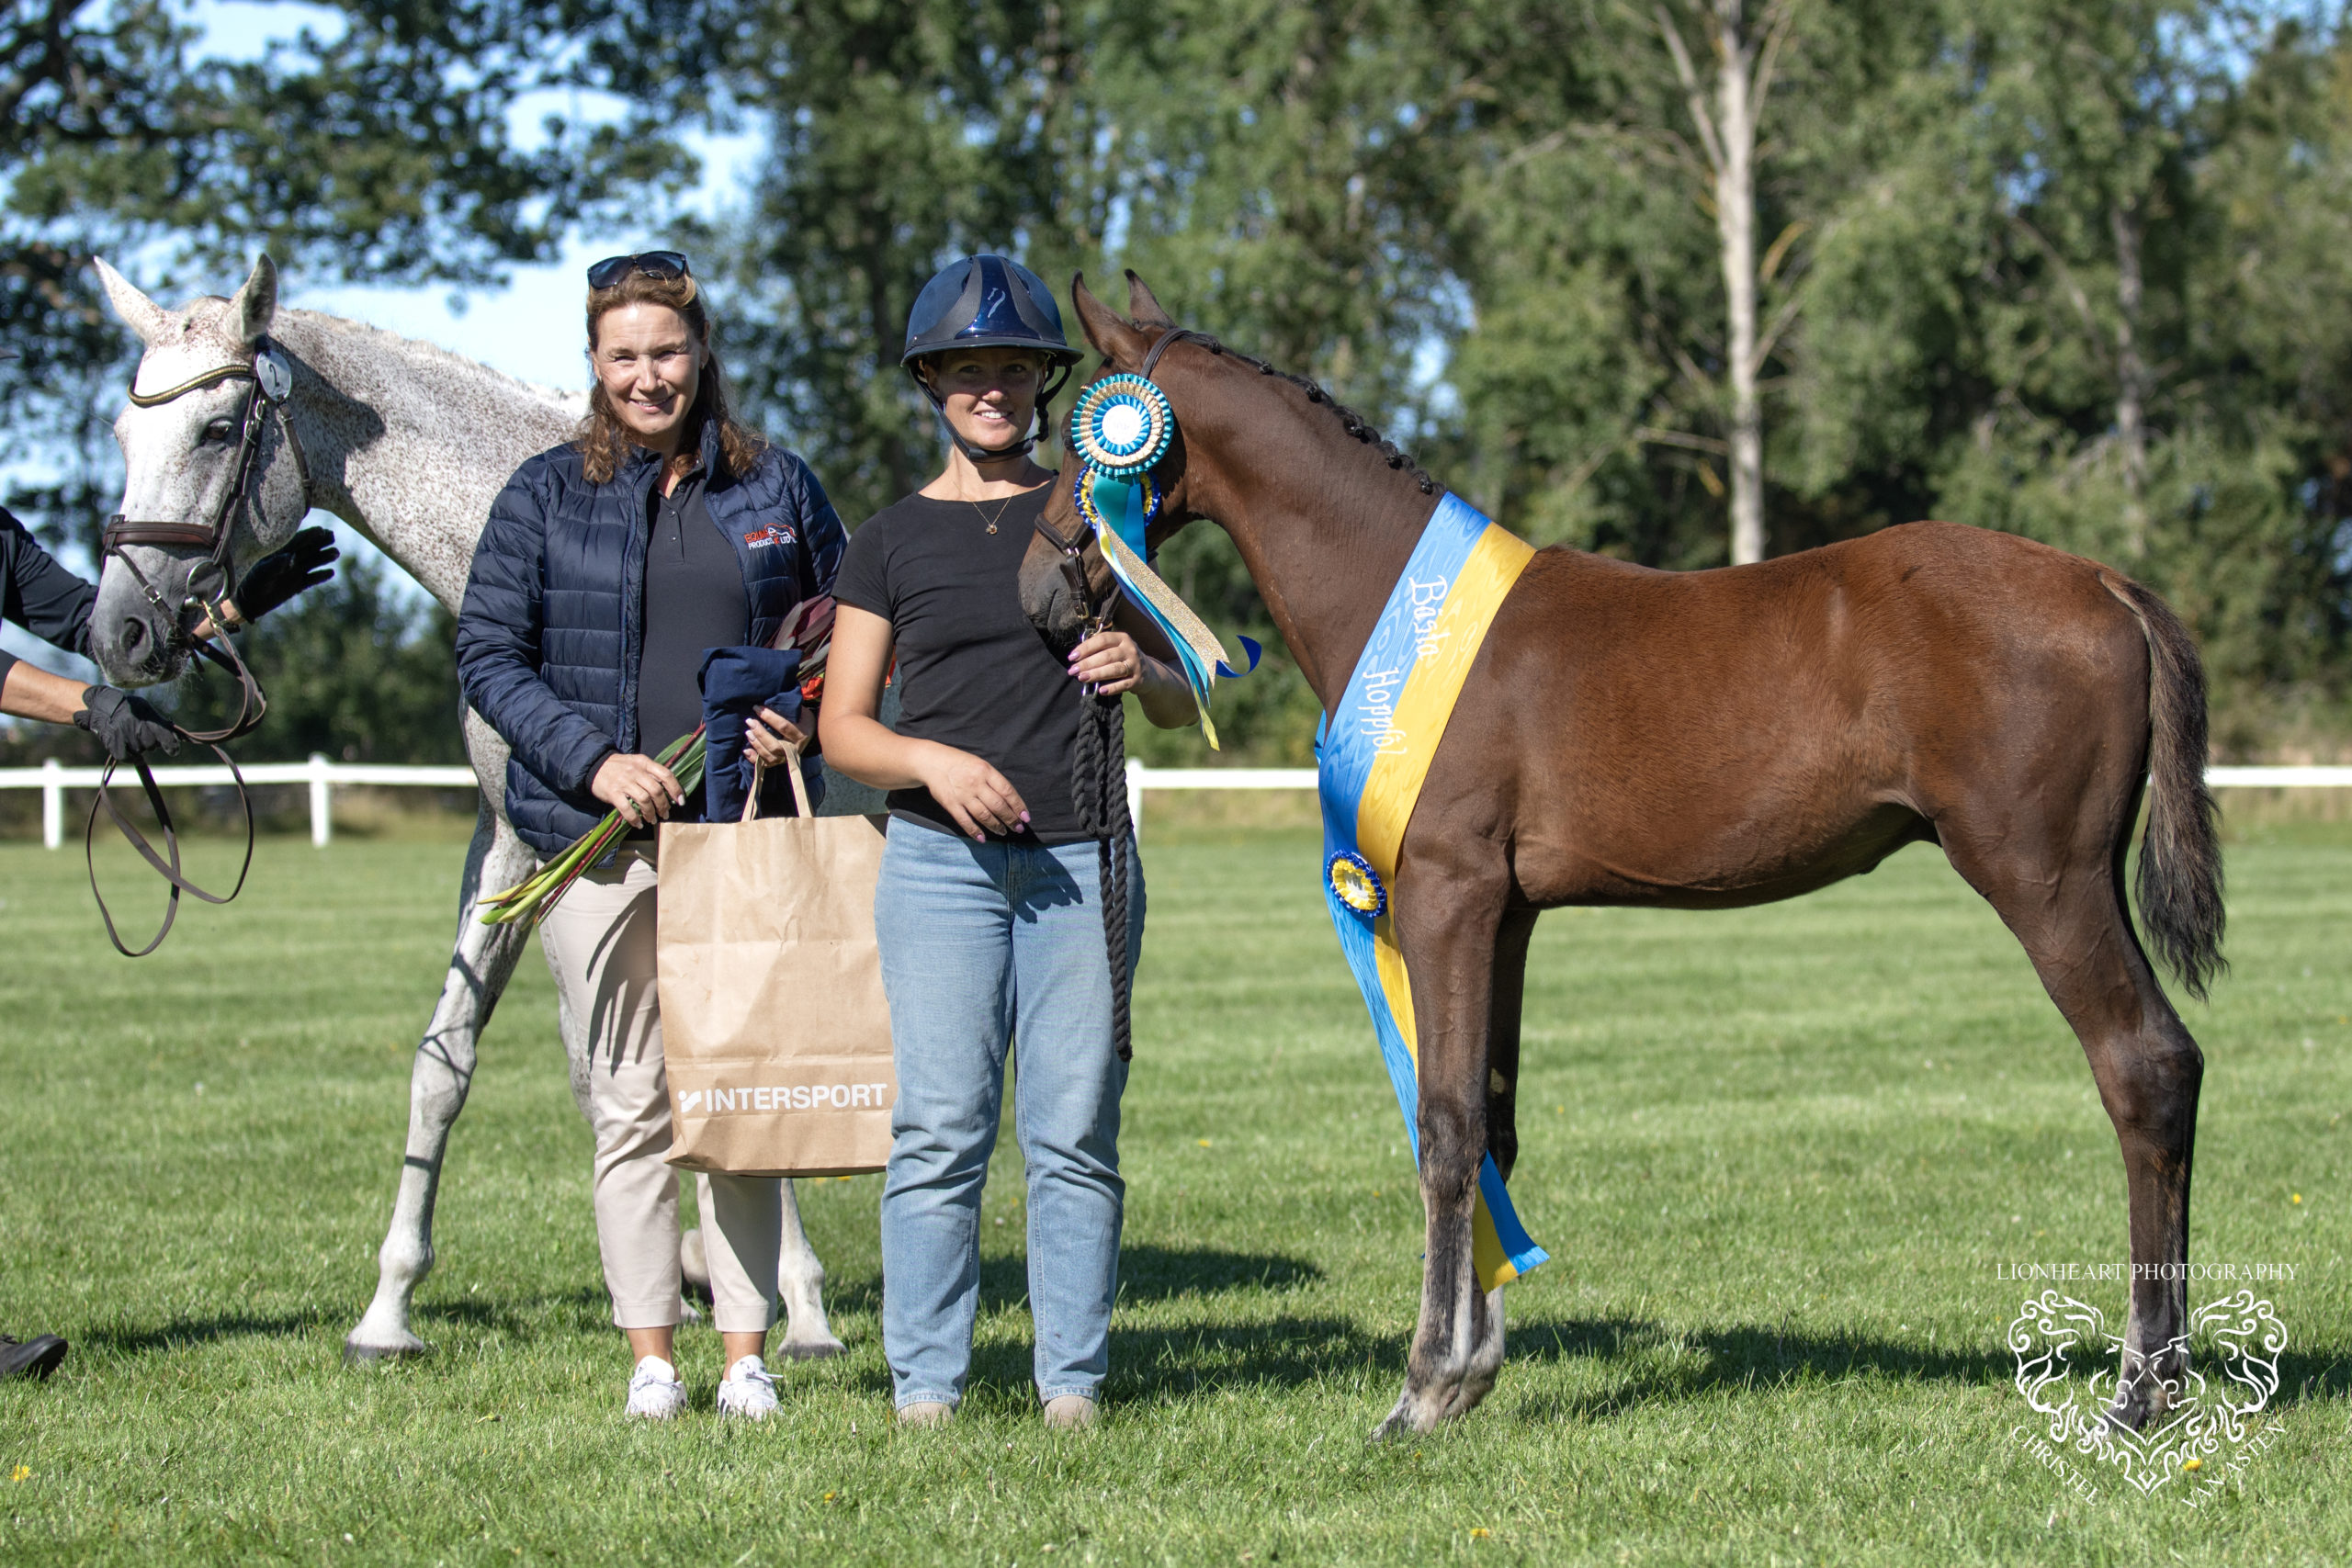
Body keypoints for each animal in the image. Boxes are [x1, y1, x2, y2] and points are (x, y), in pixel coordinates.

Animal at [85, 255, 849, 1364]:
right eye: (119, 435)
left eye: (219, 430)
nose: (121, 633)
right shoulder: (514, 846)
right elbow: (463, 1063)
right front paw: (390, 1309)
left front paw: (800, 1304)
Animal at [1021, 273, 2224, 1441]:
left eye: (1085, 443)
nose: (1039, 591)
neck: (1406, 612)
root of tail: (2105, 584)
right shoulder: (1507, 915)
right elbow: (1494, 1121)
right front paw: (1471, 1376)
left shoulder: (1446, 896)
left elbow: (1445, 1128)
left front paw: (1419, 1389)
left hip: (2043, 880)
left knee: (2145, 1067)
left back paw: (2138, 1393)